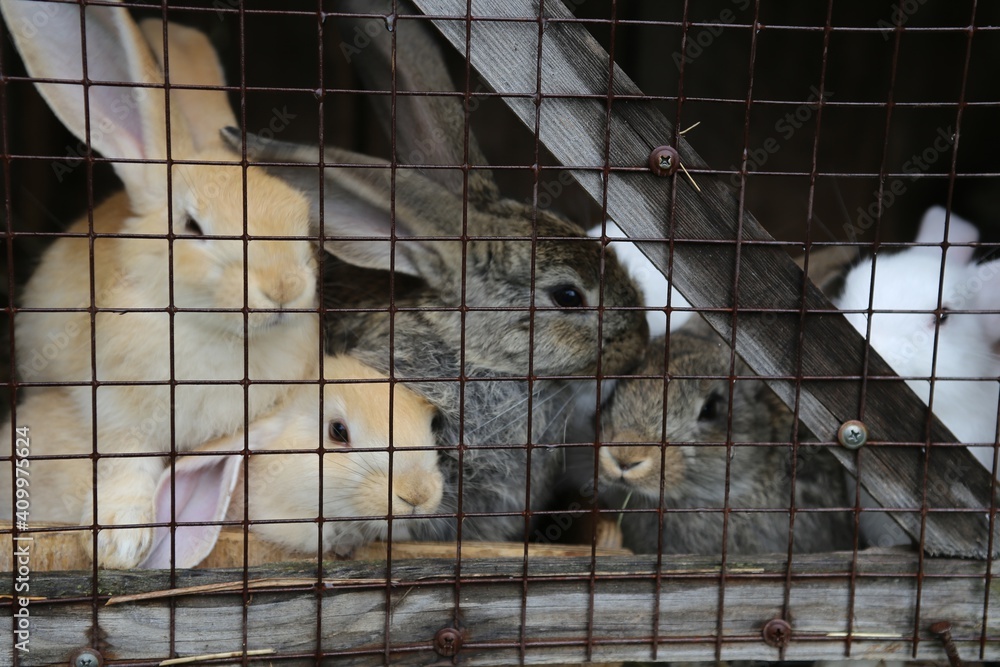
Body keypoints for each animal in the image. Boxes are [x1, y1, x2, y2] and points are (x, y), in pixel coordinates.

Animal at [1, 3, 321, 567]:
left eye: (301, 220)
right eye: (193, 227)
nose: (283, 287)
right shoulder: (114, 414)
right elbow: (126, 465)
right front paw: (120, 541)